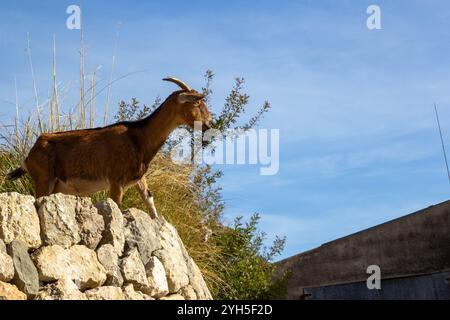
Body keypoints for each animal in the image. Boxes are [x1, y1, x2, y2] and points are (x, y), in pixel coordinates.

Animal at [5, 77, 213, 220]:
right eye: (197, 102)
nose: (209, 124)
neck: (140, 138)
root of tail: (29, 156)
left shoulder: (138, 177)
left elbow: (149, 200)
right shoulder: (115, 180)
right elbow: (117, 207)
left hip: (56, 186)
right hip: (44, 178)